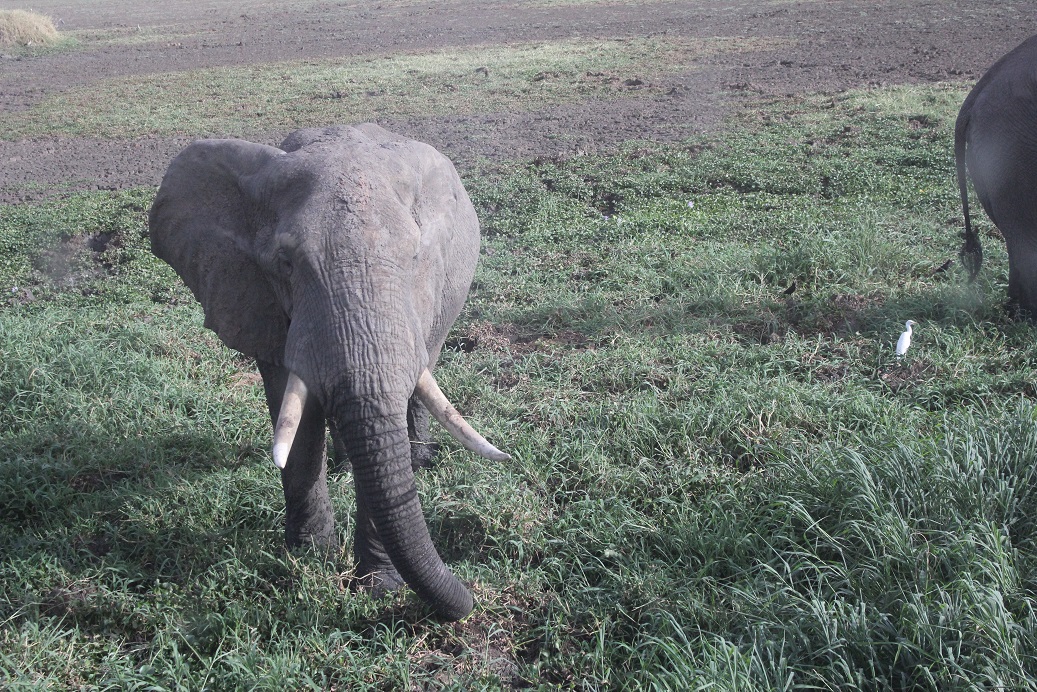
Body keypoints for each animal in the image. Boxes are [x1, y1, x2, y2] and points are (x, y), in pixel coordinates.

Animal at [148, 123, 509, 621]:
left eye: (414, 258)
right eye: (285, 264)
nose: (469, 598)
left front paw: (379, 588)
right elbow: (293, 419)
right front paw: (308, 559)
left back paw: (418, 459)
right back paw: (344, 464)